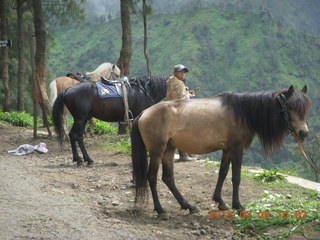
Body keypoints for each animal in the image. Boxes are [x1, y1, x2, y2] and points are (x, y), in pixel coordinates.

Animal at [131, 85, 312, 218]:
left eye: (305, 109)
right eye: (290, 106)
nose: (303, 132)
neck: (243, 112)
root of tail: (144, 113)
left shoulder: (227, 150)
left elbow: (223, 173)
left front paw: (220, 202)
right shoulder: (237, 149)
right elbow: (236, 177)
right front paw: (238, 205)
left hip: (169, 149)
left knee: (168, 178)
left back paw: (188, 205)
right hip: (157, 151)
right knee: (152, 177)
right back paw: (161, 210)